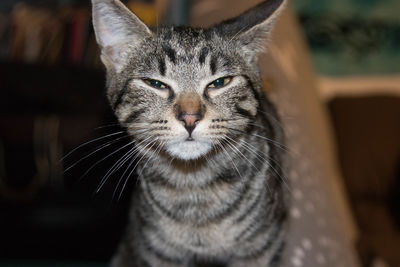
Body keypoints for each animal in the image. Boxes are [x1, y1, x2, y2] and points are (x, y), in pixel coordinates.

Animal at [91, 0, 288, 266]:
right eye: (155, 84)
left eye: (220, 82)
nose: (190, 118)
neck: (194, 186)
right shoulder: (155, 251)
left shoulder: (261, 248)